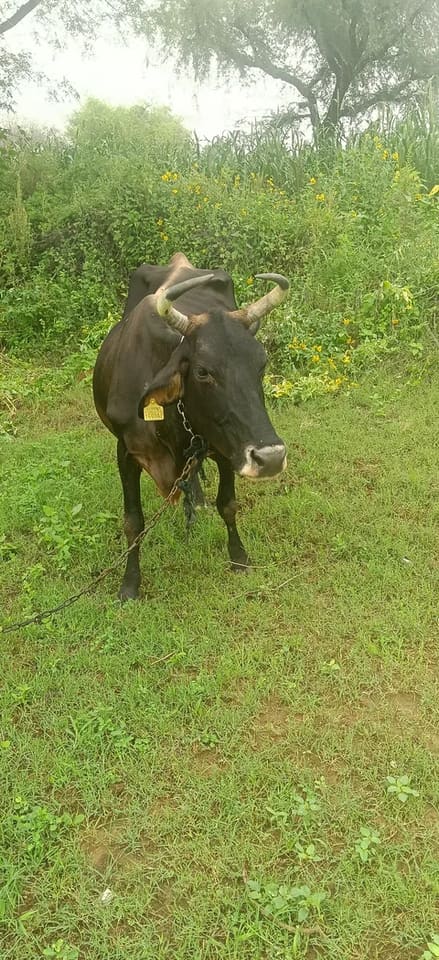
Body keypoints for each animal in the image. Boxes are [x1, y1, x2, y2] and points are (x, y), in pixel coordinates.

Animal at [93, 252, 289, 600]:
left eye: (261, 364)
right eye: (202, 371)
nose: (271, 458)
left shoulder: (226, 446)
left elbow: (228, 504)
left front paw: (239, 557)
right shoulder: (126, 452)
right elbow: (133, 521)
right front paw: (129, 584)